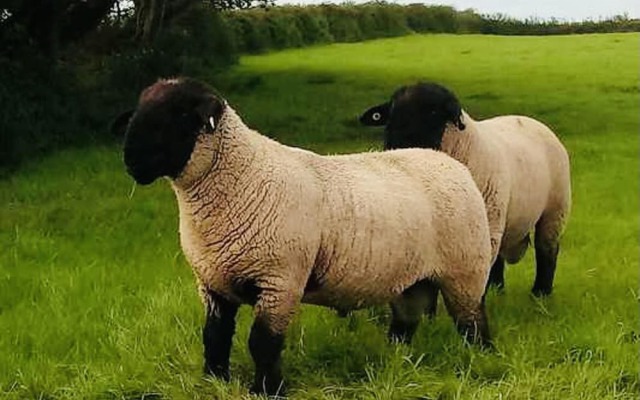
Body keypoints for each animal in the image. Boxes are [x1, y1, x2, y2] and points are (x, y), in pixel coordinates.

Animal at [113, 77, 493, 396]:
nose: (131, 160)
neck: (240, 177)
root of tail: (448, 162)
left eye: (180, 114)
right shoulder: (212, 282)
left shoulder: (279, 281)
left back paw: (481, 359)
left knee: (473, 323)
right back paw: (396, 359)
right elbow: (215, 337)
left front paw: (267, 390)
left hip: (465, 271)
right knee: (406, 320)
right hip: (411, 278)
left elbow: (262, 343)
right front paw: (214, 381)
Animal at [359, 82, 571, 298]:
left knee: (547, 249)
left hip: (555, 209)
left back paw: (541, 292)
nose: (395, 145)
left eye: (433, 112)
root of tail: (529, 120)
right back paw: (497, 288)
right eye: (392, 112)